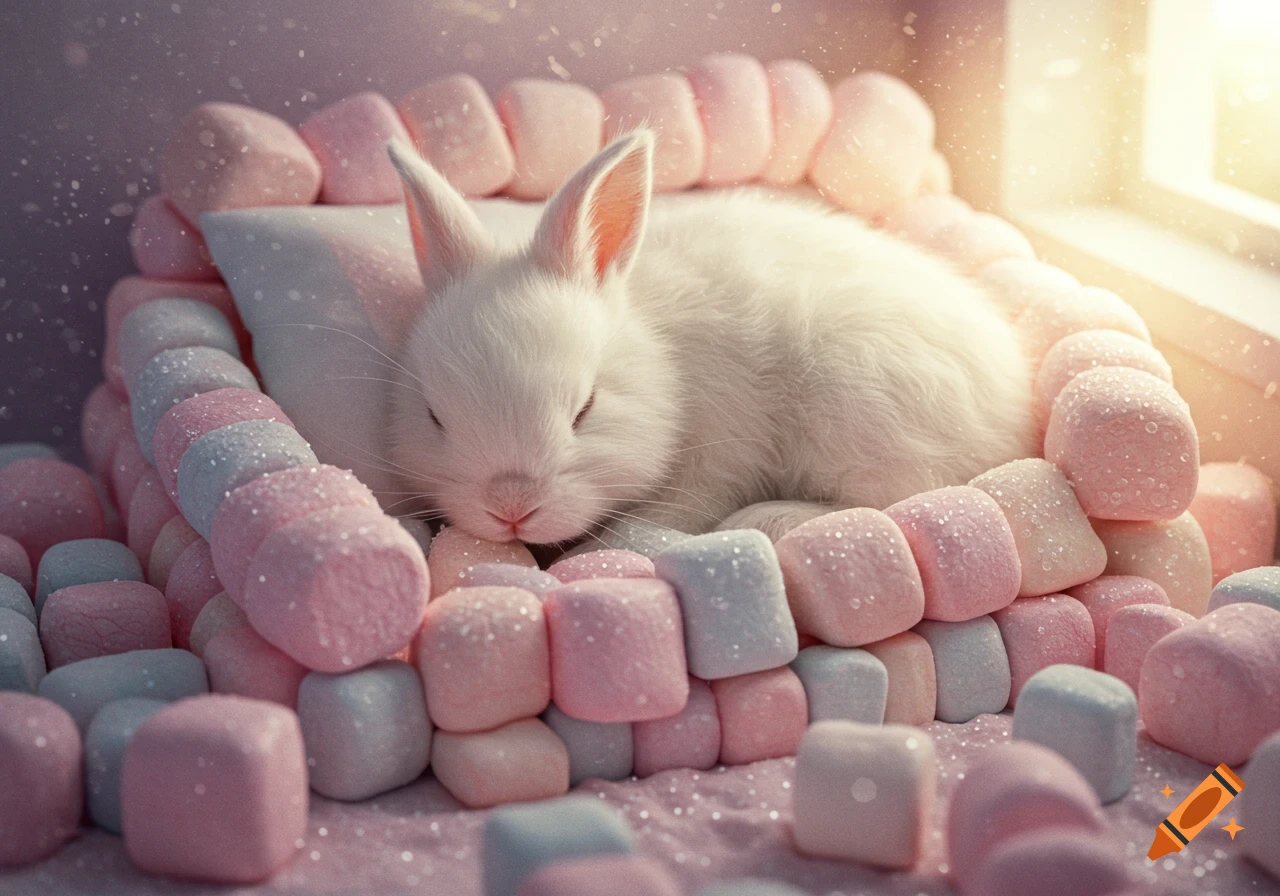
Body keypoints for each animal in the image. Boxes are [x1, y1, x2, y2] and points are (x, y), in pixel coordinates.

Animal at [383, 130, 1036, 548]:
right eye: (434, 416)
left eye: (585, 409)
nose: (511, 509)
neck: (662, 356)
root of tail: (1017, 417)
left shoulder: (715, 461)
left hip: (858, 401)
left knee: (900, 496)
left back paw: (771, 518)